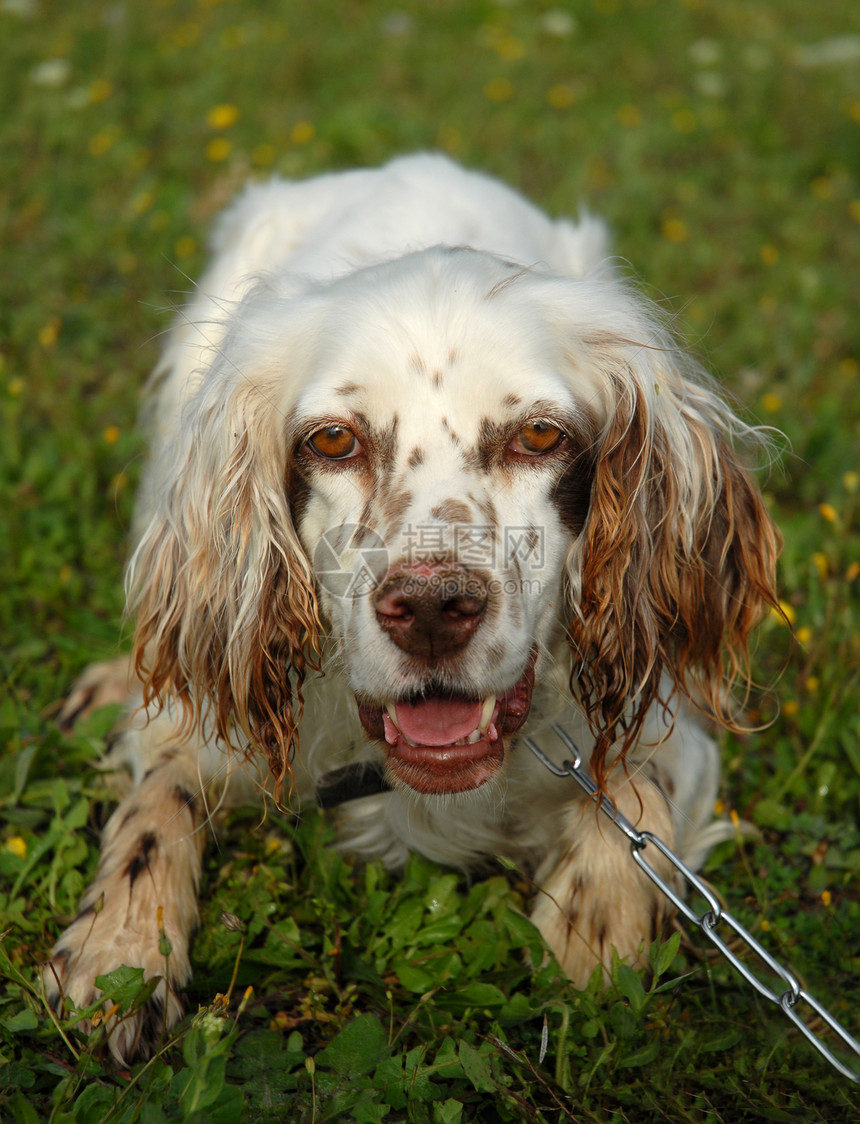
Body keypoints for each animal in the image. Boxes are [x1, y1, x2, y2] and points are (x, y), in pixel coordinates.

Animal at [43, 156, 777, 1061]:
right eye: (332, 440)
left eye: (540, 436)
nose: (430, 609)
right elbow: (157, 802)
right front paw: (118, 948)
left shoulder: (672, 731)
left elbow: (633, 793)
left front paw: (594, 933)